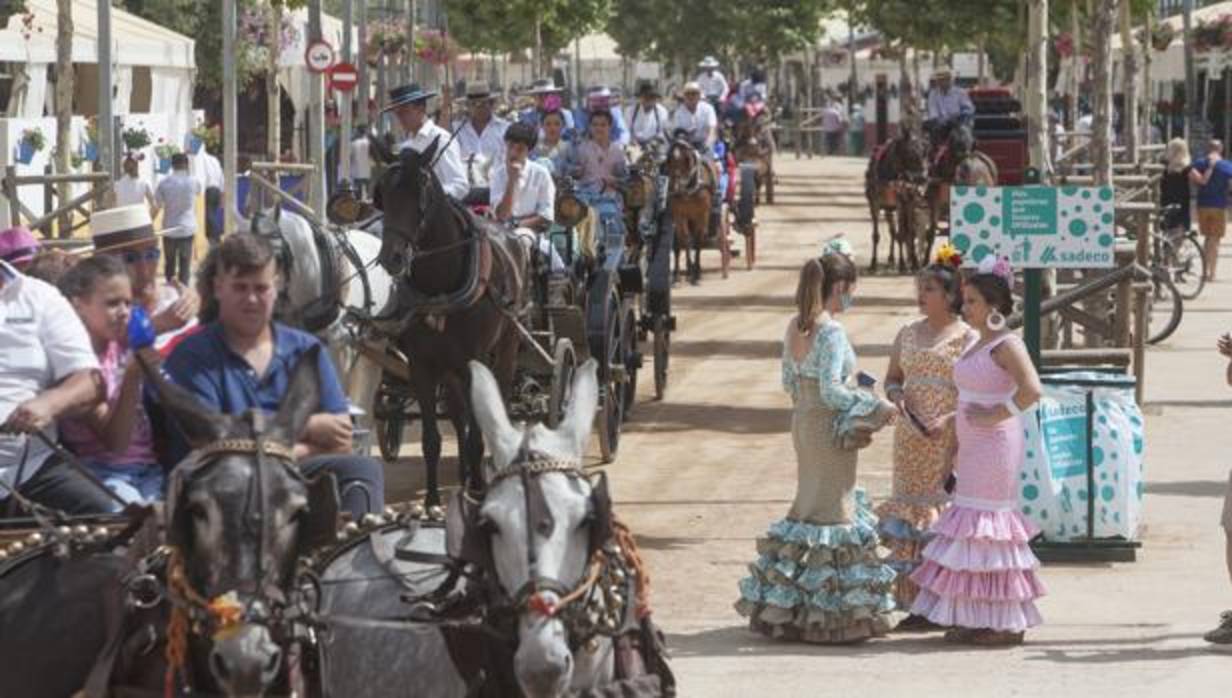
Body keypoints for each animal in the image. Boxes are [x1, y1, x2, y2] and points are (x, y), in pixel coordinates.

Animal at [372, 137, 532, 507]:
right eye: (382, 193)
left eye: (421, 192)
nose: (392, 257)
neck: (439, 284)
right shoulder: (422, 364)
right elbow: (432, 438)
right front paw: (432, 501)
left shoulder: (474, 362)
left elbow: (477, 434)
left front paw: (479, 491)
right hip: (450, 367)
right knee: (458, 416)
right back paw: (463, 477)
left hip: (505, 347)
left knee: (498, 402)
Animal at [862, 128, 926, 273]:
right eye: (910, 153)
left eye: (924, 152)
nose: (922, 179)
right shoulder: (874, 204)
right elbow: (876, 236)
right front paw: (873, 263)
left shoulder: (902, 203)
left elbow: (902, 234)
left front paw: (902, 264)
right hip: (888, 208)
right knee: (893, 231)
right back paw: (891, 259)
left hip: (907, 204)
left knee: (908, 232)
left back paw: (913, 262)